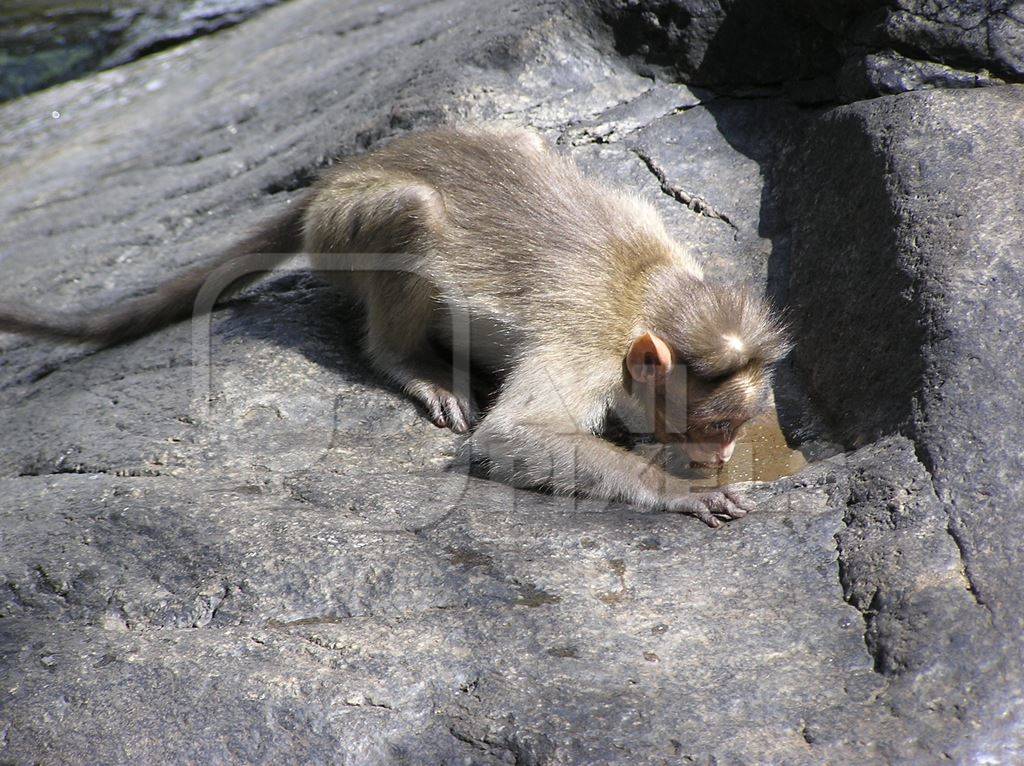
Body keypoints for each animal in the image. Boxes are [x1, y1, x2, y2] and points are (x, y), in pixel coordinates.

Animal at [0, 125, 790, 528]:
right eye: (716, 427)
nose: (721, 455)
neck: (647, 295)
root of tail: (340, 174)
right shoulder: (587, 346)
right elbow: (515, 437)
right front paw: (678, 490)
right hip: (344, 228)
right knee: (414, 213)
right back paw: (408, 361)